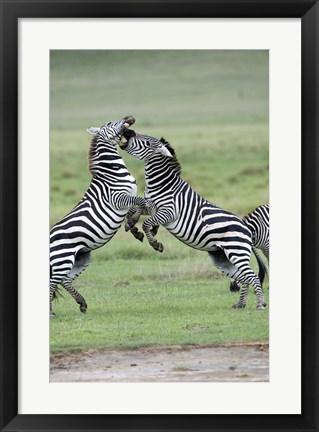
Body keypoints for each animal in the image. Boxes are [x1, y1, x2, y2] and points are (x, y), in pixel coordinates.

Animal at [49, 115, 150, 318]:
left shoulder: (125, 200)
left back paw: (82, 303)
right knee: (52, 282)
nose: (129, 117)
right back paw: (50, 313)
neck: (112, 171)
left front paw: (133, 228)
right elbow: (141, 202)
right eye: (111, 123)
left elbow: (135, 208)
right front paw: (135, 223)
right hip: (63, 259)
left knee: (65, 281)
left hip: (82, 257)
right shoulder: (118, 198)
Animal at [121, 129, 268, 310]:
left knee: (252, 276)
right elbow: (136, 210)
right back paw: (240, 304)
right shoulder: (151, 206)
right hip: (221, 257)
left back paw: (260, 304)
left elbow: (147, 223)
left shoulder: (169, 212)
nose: (128, 131)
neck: (162, 185)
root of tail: (247, 230)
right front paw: (132, 225)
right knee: (243, 277)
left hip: (236, 251)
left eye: (147, 142)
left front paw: (155, 243)